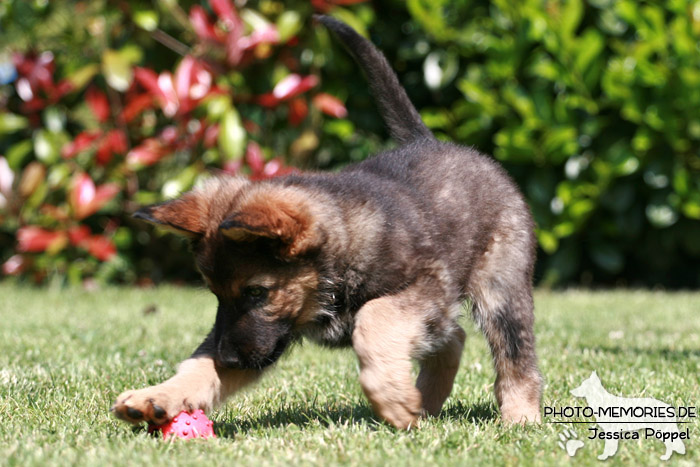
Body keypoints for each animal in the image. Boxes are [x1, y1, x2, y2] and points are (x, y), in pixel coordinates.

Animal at [112, 15, 544, 432]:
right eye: (215, 293)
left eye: (256, 292)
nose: (230, 360)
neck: (334, 260)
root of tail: (430, 141)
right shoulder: (269, 335)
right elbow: (199, 365)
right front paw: (156, 397)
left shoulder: (426, 287)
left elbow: (373, 319)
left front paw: (390, 397)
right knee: (453, 336)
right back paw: (423, 403)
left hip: (500, 287)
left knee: (514, 356)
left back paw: (520, 418)